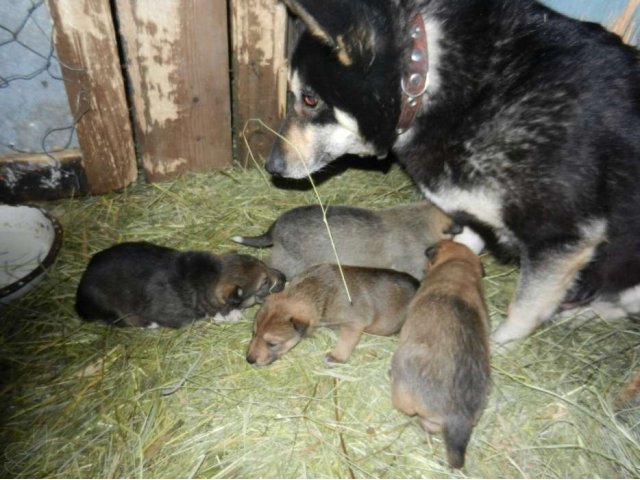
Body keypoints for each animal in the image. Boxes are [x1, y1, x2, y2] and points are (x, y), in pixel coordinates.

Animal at [75, 242, 284, 328]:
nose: (284, 277)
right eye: (264, 282)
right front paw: (230, 314)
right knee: (121, 321)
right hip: (112, 307)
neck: (211, 275)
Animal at [245, 264, 420, 366]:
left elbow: (346, 342)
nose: (249, 360)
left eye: (272, 344)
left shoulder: (354, 324)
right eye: (253, 334)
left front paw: (336, 357)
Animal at [264, 0, 640, 344]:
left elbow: (523, 309)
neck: (426, 79)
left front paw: (496, 346)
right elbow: (462, 246)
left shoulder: (562, 239)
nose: (271, 166)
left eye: (310, 99)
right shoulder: (471, 209)